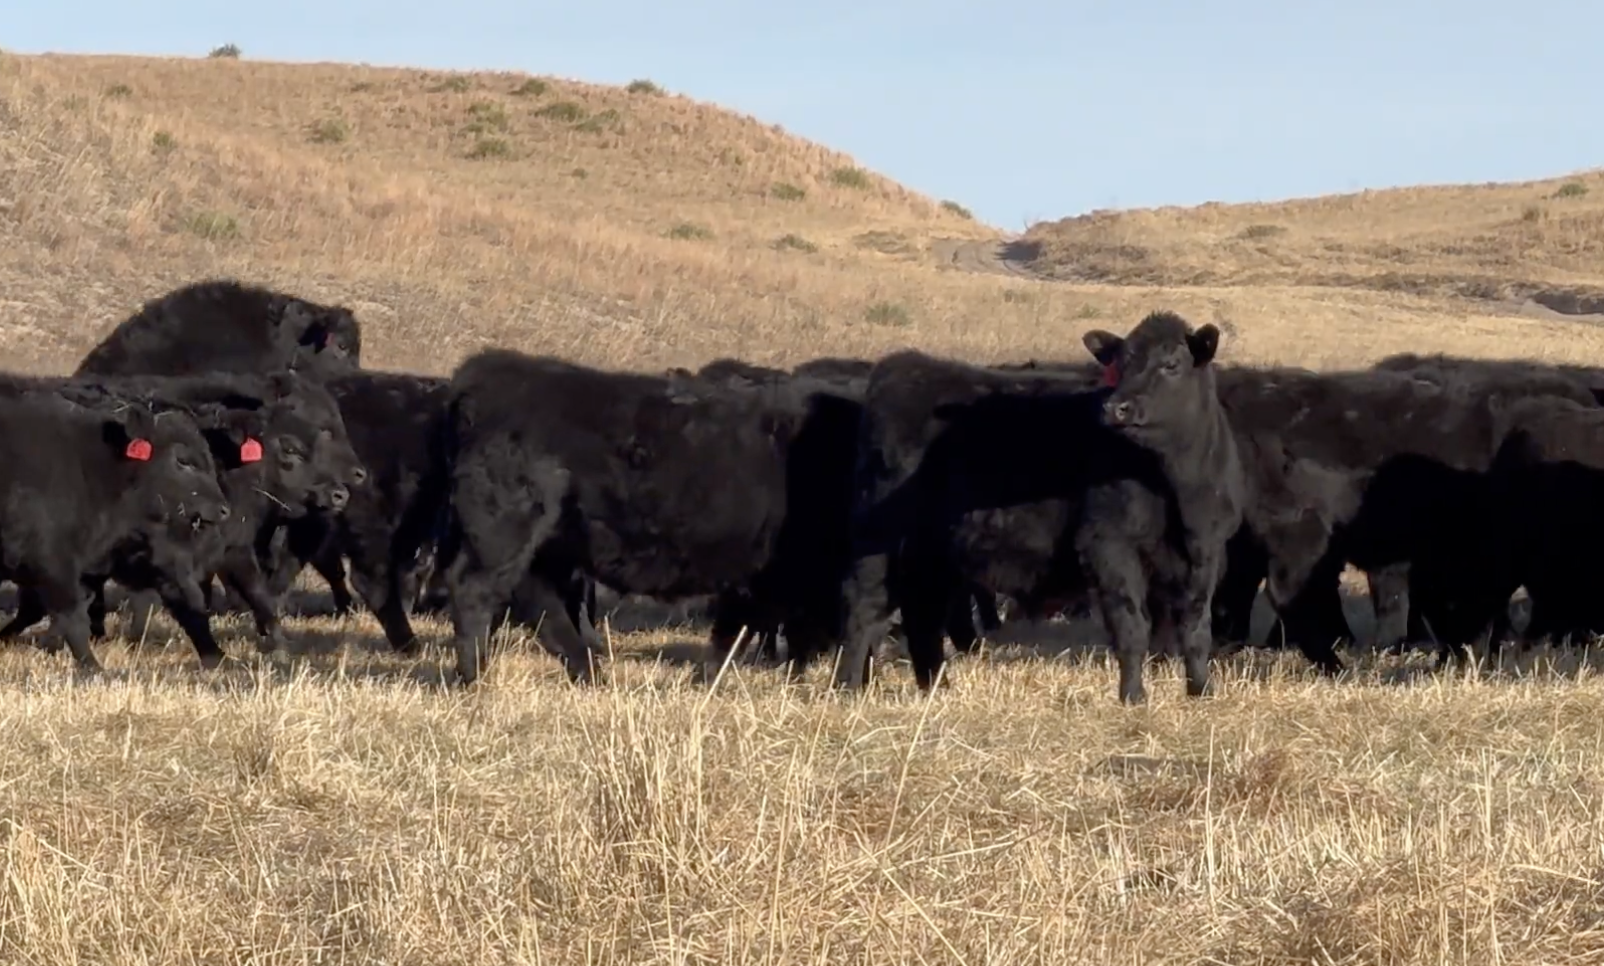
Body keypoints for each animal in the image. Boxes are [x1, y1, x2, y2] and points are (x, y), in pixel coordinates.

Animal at [437, 350, 864, 686]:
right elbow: (740, 627)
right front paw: (705, 679)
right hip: (506, 530)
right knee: (477, 590)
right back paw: (473, 678)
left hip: (545, 545)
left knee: (538, 603)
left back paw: (589, 674)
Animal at [833, 310, 1244, 704]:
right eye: (1121, 364)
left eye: (1171, 364)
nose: (1117, 408)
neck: (1180, 492)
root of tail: (902, 366)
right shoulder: (1109, 545)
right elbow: (1132, 626)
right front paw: (1133, 696)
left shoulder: (1206, 553)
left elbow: (1195, 628)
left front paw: (1202, 691)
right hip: (880, 540)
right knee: (865, 606)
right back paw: (848, 687)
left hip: (934, 551)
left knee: (922, 611)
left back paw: (935, 687)